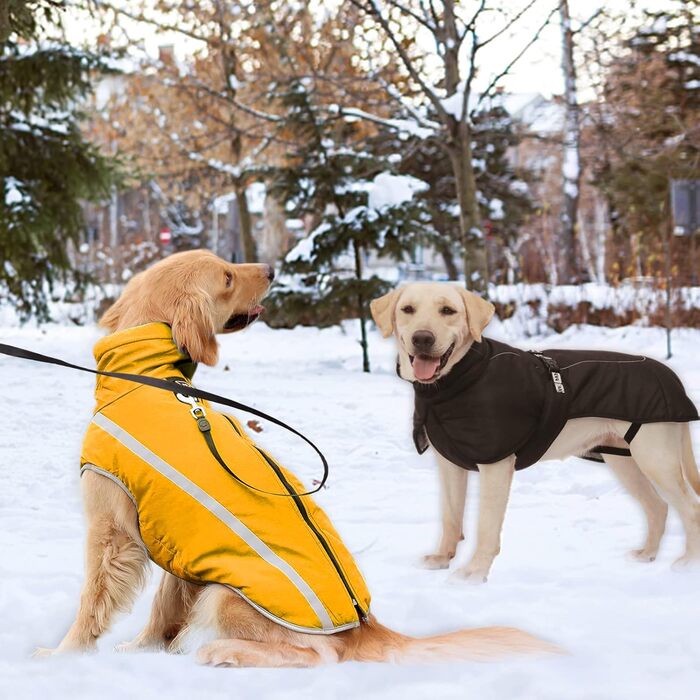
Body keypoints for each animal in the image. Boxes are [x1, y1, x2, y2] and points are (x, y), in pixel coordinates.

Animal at [372, 282, 700, 584]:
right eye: (408, 309)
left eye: (448, 311)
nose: (422, 339)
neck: (456, 380)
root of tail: (673, 378)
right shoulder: (450, 465)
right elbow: (450, 517)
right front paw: (442, 558)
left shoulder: (496, 465)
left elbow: (486, 526)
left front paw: (475, 572)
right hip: (624, 460)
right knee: (658, 506)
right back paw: (647, 554)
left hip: (656, 459)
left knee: (691, 509)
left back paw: (688, 564)